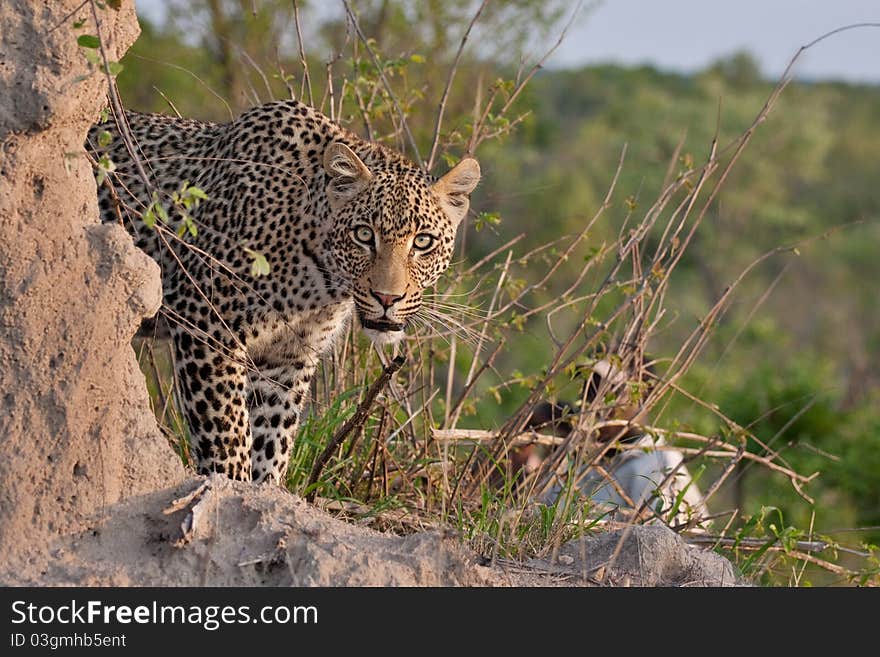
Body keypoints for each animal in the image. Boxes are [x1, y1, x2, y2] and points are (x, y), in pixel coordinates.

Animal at [87, 100, 482, 484]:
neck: (320, 284)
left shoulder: (287, 360)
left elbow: (272, 441)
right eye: (363, 235)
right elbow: (228, 437)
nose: (388, 298)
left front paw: (264, 493)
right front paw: (230, 488)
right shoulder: (208, 330)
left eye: (423, 242)